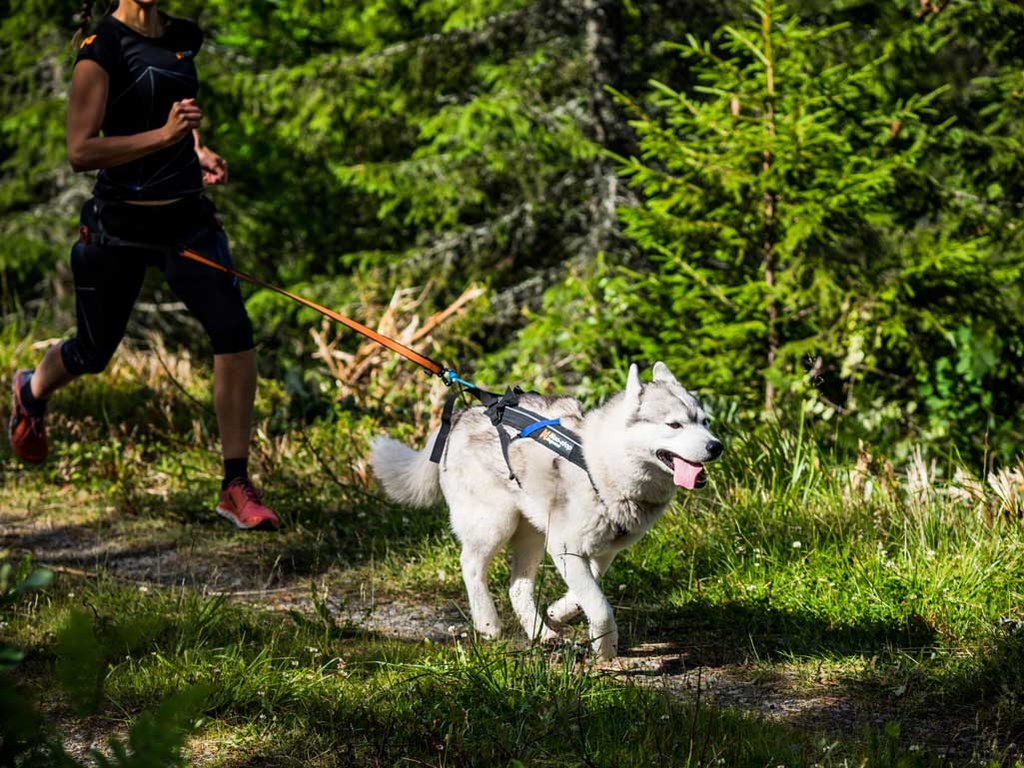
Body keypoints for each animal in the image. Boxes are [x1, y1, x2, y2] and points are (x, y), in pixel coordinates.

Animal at [370, 362, 720, 663]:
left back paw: (541, 632)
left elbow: (586, 592)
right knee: (470, 565)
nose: (716, 446)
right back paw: (487, 623)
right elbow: (599, 606)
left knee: (517, 588)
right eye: (674, 424)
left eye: (705, 422)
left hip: (533, 536)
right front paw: (606, 647)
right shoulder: (565, 548)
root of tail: (462, 415)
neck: (600, 466)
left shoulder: (602, 552)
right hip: (494, 524)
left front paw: (558, 612)